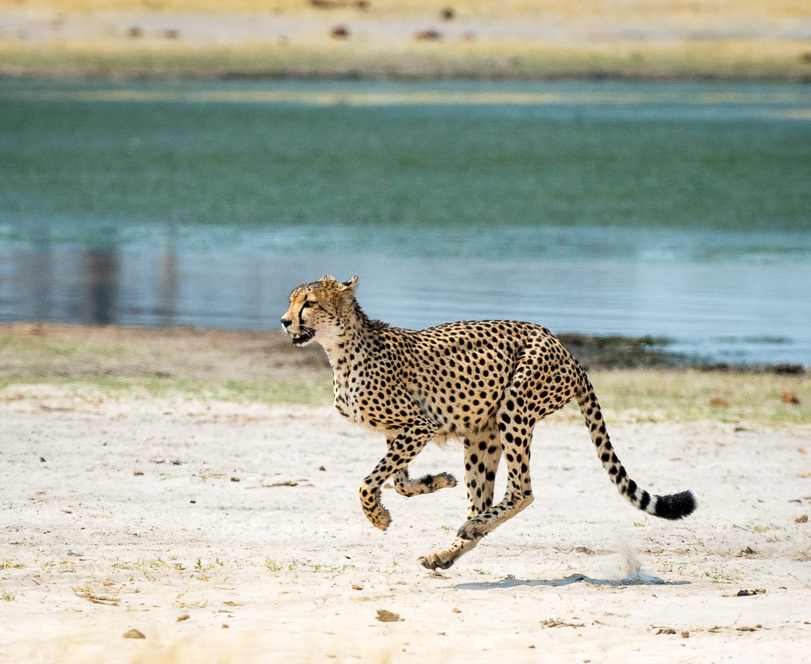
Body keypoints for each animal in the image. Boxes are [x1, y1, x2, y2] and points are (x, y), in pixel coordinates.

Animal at [281, 275, 696, 570]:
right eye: (291, 301)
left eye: (309, 303)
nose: (284, 321)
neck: (340, 349)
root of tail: (563, 346)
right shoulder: (399, 431)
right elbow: (398, 482)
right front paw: (436, 481)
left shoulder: (420, 425)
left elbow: (368, 482)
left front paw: (377, 516)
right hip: (482, 436)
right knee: (480, 500)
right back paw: (448, 550)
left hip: (515, 407)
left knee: (522, 490)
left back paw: (473, 526)